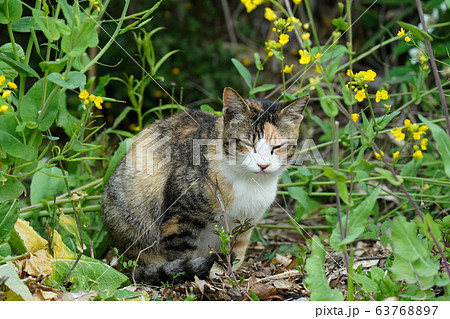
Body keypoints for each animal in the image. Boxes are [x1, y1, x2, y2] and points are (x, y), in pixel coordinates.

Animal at [102, 87, 308, 284]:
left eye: (277, 147)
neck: (249, 181)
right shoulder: (180, 217)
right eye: (248, 143)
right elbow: (180, 253)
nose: (263, 165)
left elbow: (238, 250)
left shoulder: (245, 223)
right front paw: (189, 277)